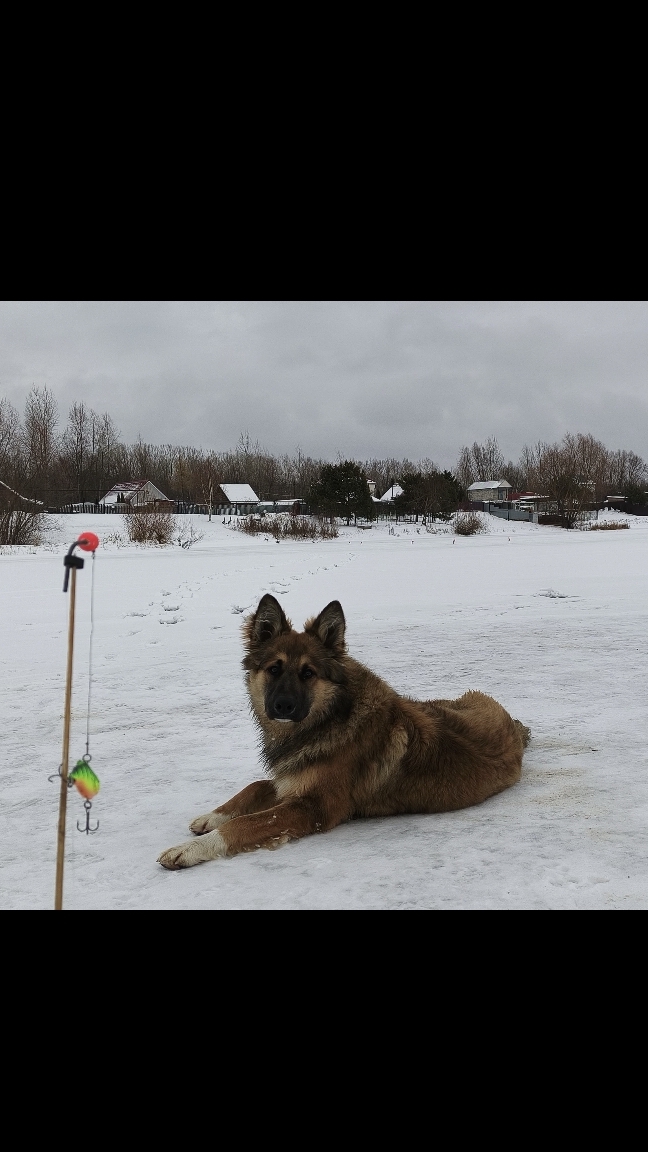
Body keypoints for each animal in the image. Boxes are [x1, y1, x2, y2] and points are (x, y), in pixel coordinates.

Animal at [157, 594, 530, 866]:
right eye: (274, 669)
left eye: (308, 673)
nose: (282, 707)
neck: (330, 717)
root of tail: (511, 723)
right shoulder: (292, 779)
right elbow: (254, 787)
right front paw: (212, 816)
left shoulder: (315, 806)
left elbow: (248, 822)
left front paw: (189, 849)